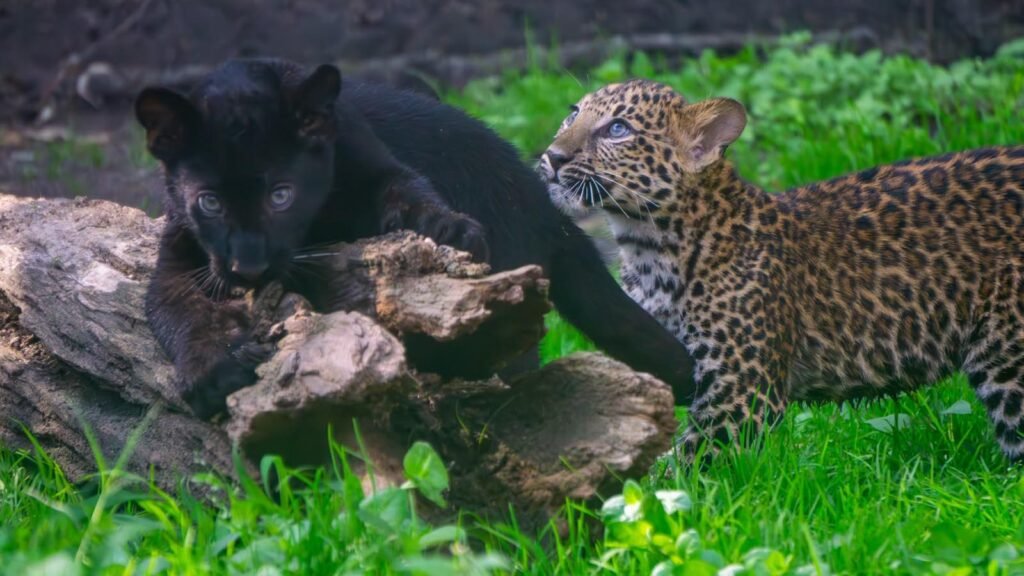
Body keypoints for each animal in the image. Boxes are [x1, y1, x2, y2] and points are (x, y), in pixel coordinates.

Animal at [538, 79, 1024, 463]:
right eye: (573, 114)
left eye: (618, 129)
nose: (553, 156)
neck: (646, 246)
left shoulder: (740, 397)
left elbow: (682, 472)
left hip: (1008, 357)